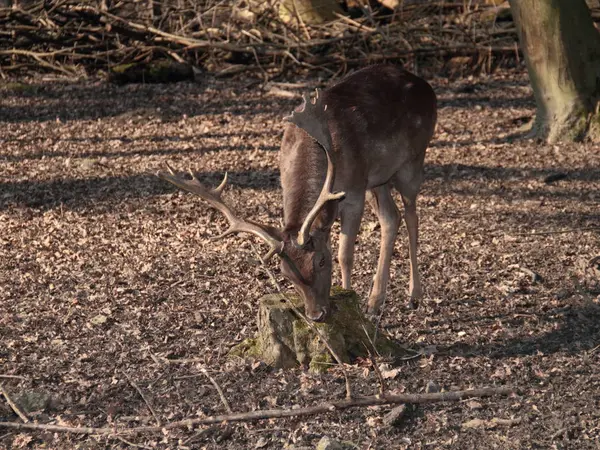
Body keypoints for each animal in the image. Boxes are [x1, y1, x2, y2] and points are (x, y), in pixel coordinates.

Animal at [158, 65, 436, 322]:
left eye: (321, 261)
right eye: (286, 273)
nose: (316, 315)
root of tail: (424, 84)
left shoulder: (354, 191)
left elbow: (345, 254)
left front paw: (349, 297)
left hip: (412, 161)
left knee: (411, 215)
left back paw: (414, 296)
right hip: (378, 179)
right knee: (391, 217)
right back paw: (375, 302)